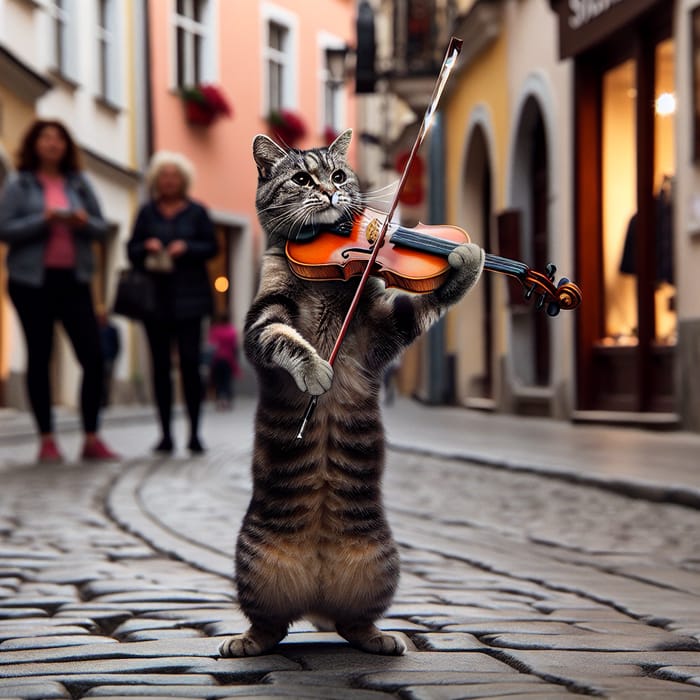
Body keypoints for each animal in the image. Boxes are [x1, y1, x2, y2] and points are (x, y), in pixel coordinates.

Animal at [216, 130, 484, 656]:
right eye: (302, 179)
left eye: (339, 175)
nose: (331, 194)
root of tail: (316, 596)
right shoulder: (261, 321)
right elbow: (286, 340)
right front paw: (316, 373)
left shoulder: (380, 330)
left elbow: (431, 298)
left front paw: (466, 257)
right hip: (252, 563)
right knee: (269, 625)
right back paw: (246, 642)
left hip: (381, 563)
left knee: (352, 623)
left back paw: (379, 639)